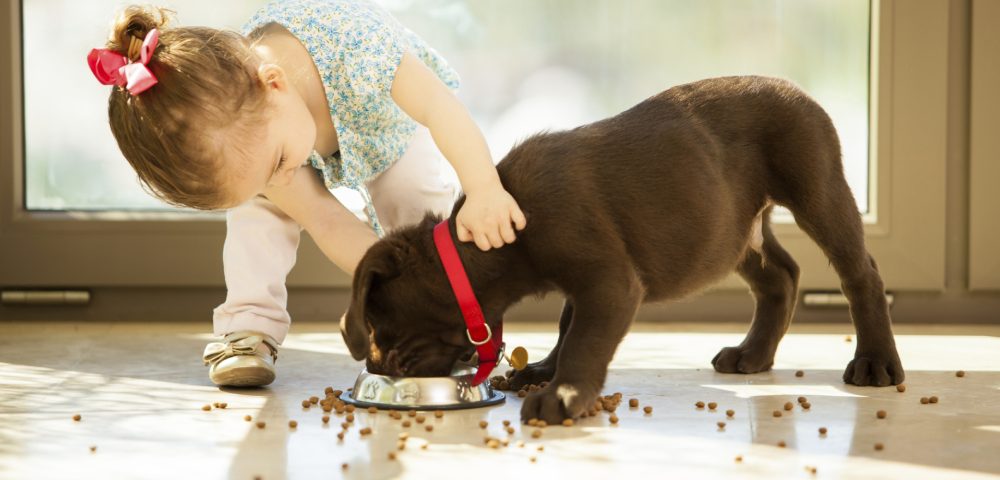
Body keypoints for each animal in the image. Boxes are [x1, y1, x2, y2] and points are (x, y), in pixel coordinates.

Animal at [340, 76, 904, 424]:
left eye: (382, 330)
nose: (381, 367)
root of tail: (796, 88)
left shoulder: (608, 281)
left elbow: (584, 339)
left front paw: (561, 395)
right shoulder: (588, 282)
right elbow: (567, 326)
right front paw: (544, 372)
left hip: (817, 189)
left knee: (861, 274)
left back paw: (875, 363)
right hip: (732, 229)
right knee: (780, 275)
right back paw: (753, 354)